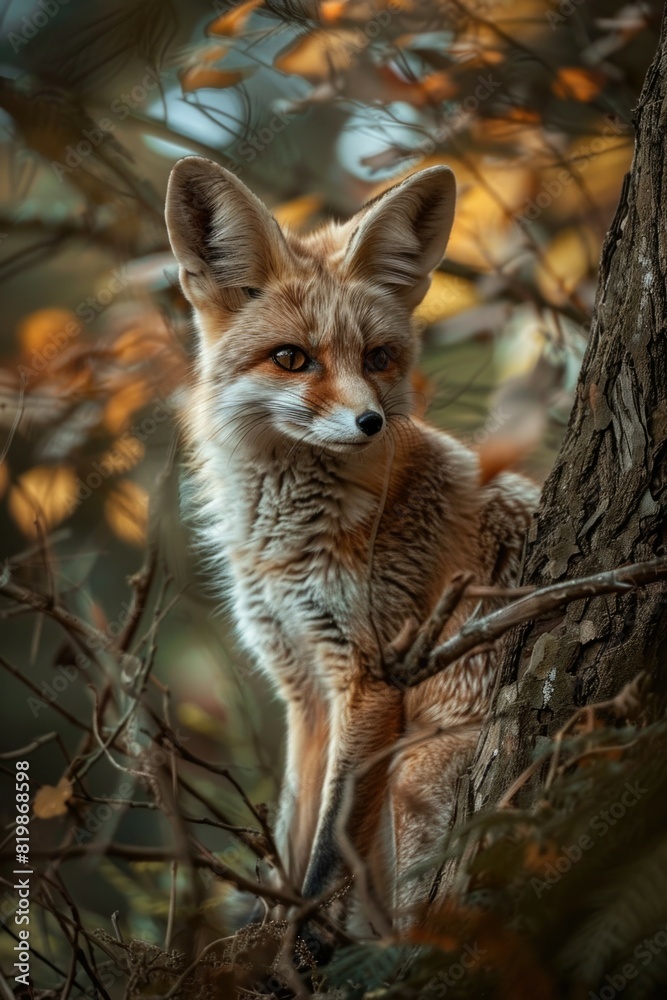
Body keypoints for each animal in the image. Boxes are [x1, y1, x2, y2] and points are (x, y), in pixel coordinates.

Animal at [165, 156, 538, 931]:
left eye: (378, 357)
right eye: (291, 358)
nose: (370, 422)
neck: (286, 549)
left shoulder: (370, 677)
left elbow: (325, 858)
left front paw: (299, 946)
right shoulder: (302, 688)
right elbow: (295, 831)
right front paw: (268, 933)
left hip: (414, 776)